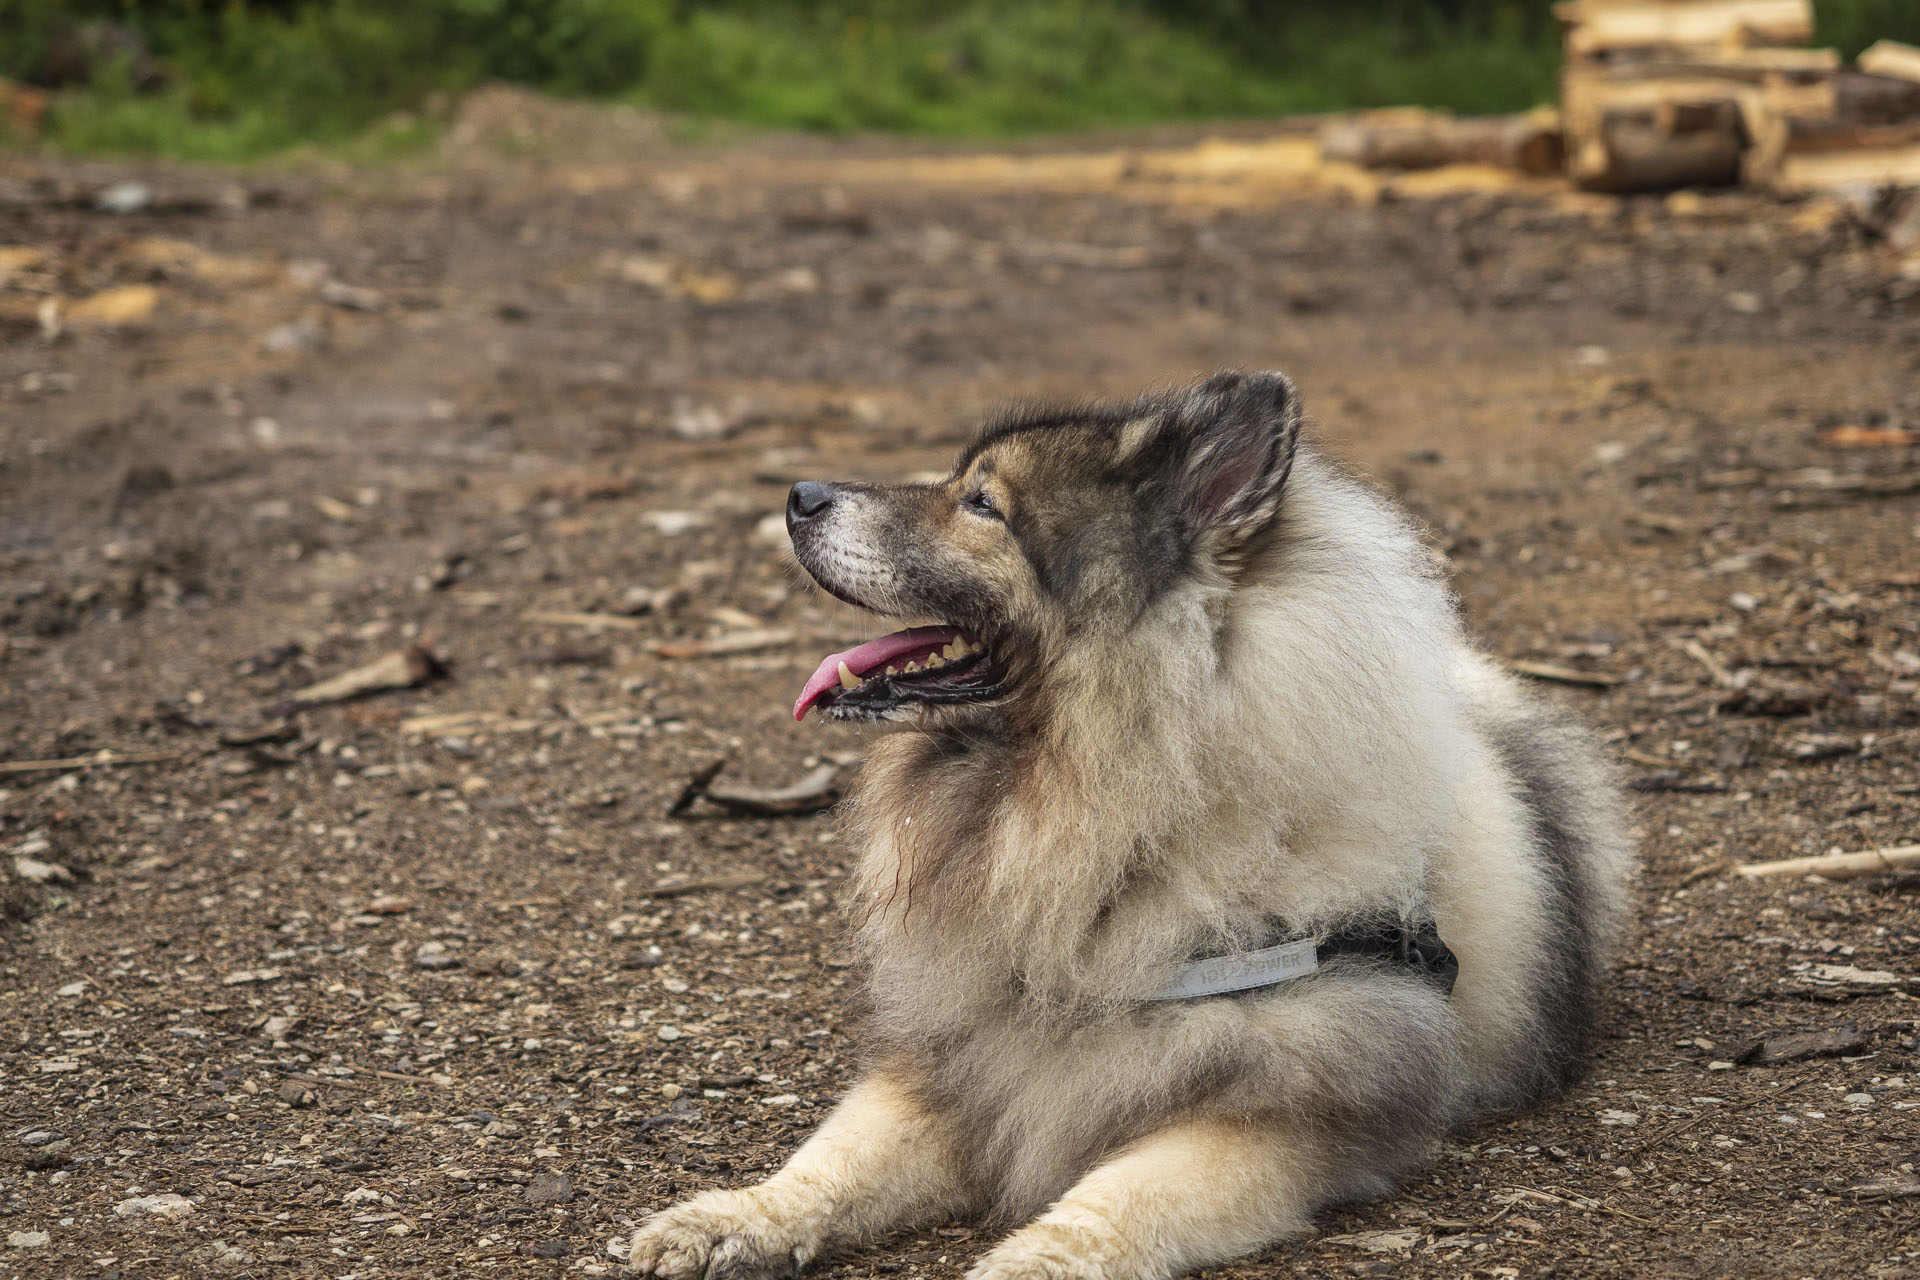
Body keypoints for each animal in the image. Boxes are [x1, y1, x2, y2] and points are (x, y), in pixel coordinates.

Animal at [629, 370, 1635, 1280]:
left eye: (982, 504)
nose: (798, 495)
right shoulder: (960, 1056)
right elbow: (829, 1162)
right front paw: (727, 1220)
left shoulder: (1281, 1111)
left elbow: (1115, 1201)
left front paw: (1026, 1265)